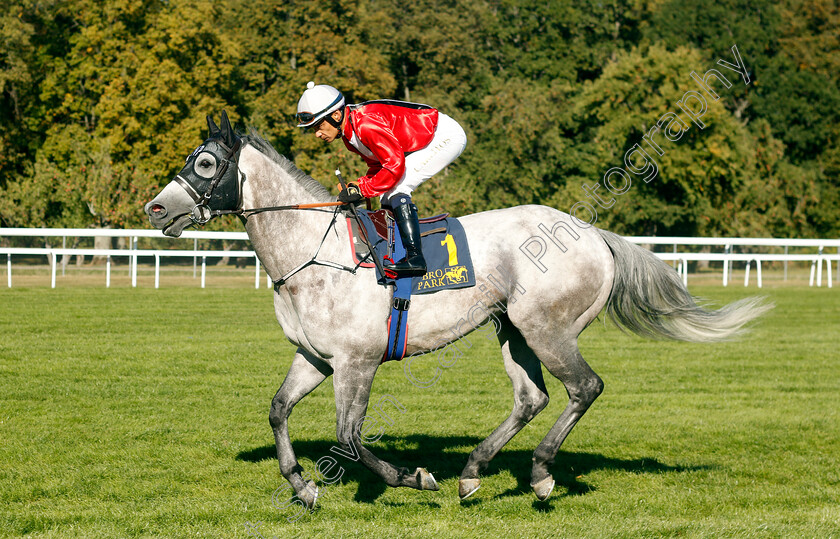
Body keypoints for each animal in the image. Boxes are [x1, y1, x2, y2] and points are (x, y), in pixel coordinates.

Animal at [144, 112, 768, 508]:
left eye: (205, 163)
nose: (155, 209)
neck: (313, 253)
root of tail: (592, 232)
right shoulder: (316, 357)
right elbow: (277, 410)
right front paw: (303, 486)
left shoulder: (357, 363)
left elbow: (351, 436)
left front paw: (414, 477)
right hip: (513, 329)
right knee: (531, 397)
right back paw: (472, 473)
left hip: (548, 329)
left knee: (583, 388)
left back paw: (540, 474)